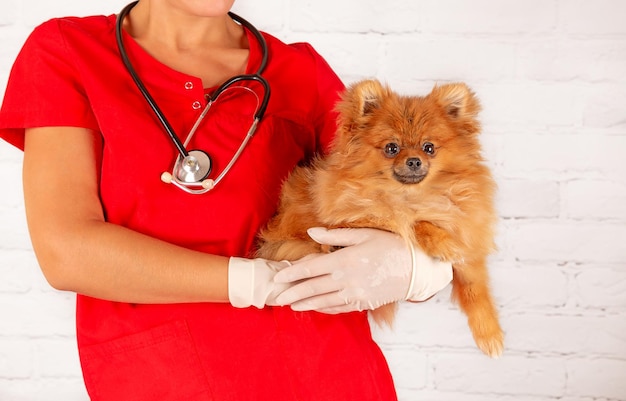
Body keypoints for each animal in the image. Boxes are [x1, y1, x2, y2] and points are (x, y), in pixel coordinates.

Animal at [258, 78, 502, 356]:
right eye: (391, 148)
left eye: (429, 148)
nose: (414, 161)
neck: (411, 196)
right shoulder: (359, 214)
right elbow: (410, 223)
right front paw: (441, 241)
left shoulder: (469, 239)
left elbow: (475, 288)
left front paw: (489, 332)